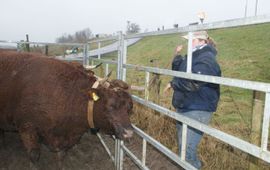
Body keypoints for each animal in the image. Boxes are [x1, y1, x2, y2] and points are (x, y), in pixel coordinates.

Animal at [0, 50, 133, 162]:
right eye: (110, 105)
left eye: (129, 108)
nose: (129, 133)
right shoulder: (27, 128)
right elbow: (34, 155)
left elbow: (61, 155)